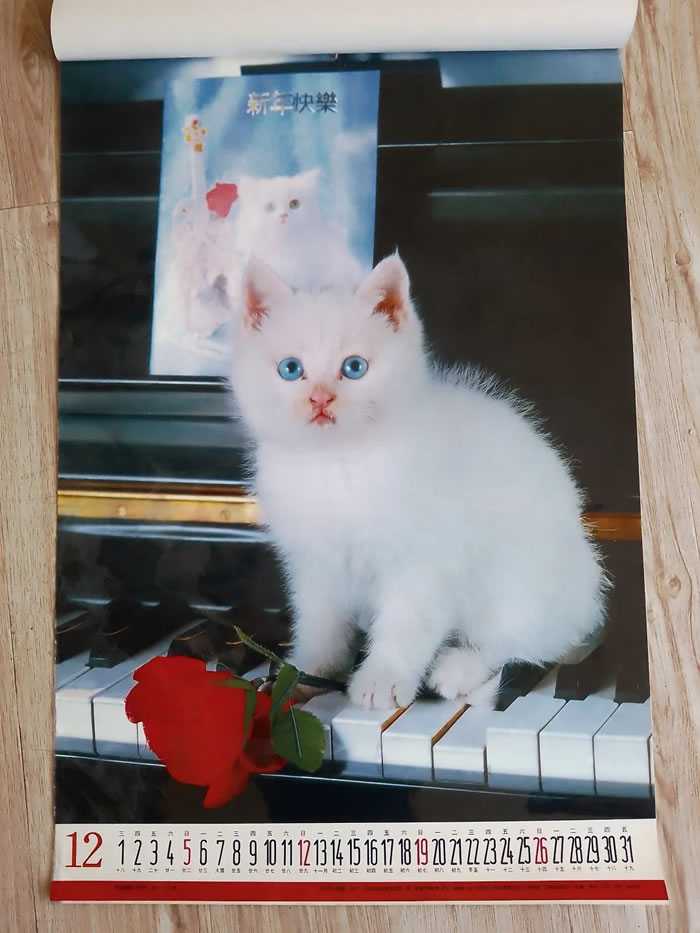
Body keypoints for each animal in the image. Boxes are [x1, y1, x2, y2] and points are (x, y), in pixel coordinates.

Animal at [228, 254, 608, 710]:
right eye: (290, 369)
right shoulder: (314, 565)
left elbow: (406, 623)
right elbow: (320, 623)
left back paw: (458, 667)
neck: (337, 462)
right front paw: (306, 675)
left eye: (354, 368)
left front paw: (383, 679)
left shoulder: (426, 562)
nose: (320, 399)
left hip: (521, 582)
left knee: (524, 639)